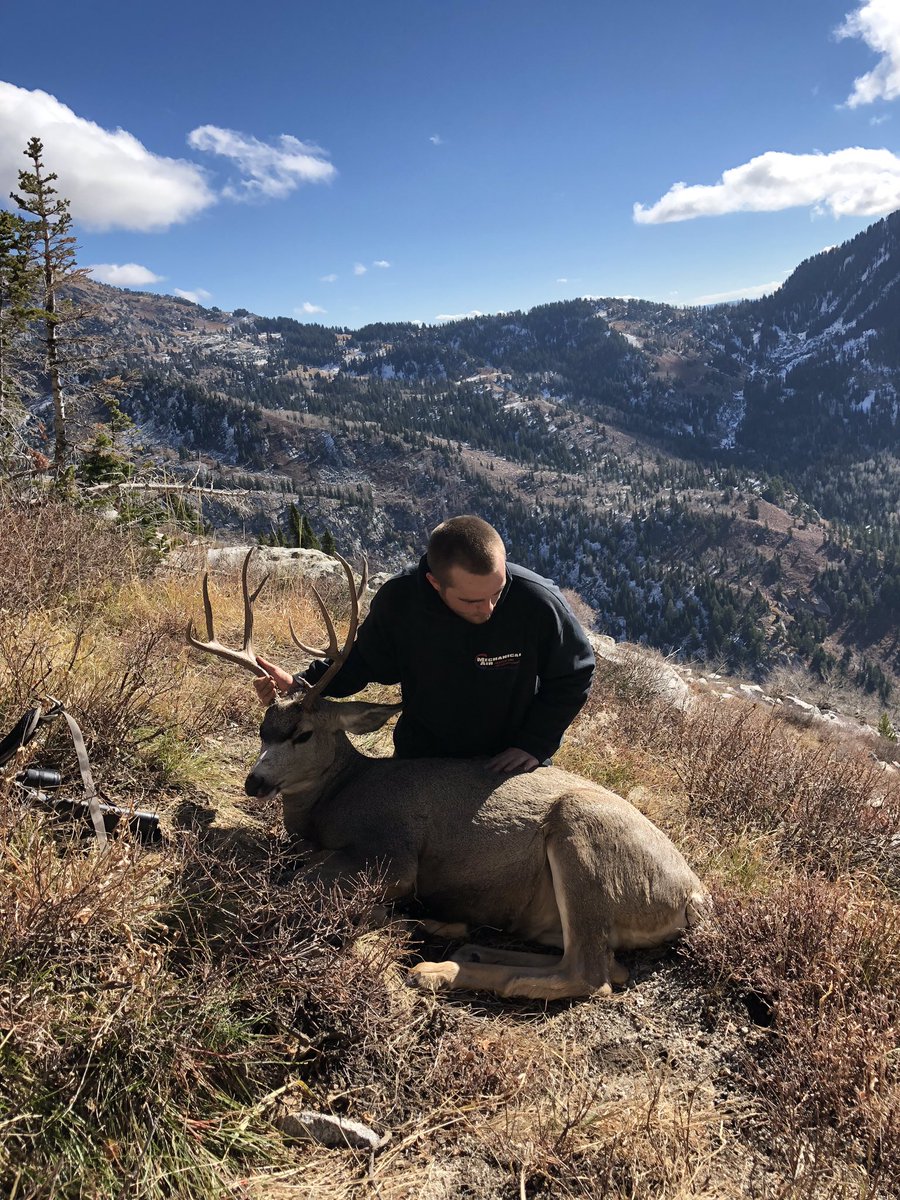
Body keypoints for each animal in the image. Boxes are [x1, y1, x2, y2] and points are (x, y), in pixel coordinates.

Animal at [187, 549, 709, 1001]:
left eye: (303, 734)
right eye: (263, 728)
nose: (255, 782)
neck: (338, 797)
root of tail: (693, 894)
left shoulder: (391, 853)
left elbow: (300, 882)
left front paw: (396, 918)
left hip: (583, 834)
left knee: (591, 974)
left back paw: (436, 967)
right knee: (607, 966)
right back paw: (463, 942)